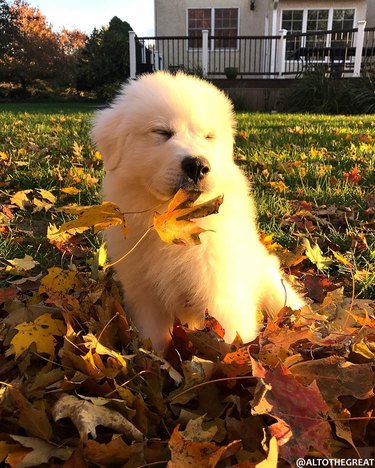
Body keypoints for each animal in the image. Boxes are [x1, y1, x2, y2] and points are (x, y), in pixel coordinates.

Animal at [92, 72, 306, 352]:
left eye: (208, 137)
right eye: (162, 132)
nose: (197, 166)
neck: (174, 216)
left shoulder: (220, 290)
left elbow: (228, 336)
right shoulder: (145, 294)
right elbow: (156, 338)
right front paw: (156, 359)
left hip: (270, 283)